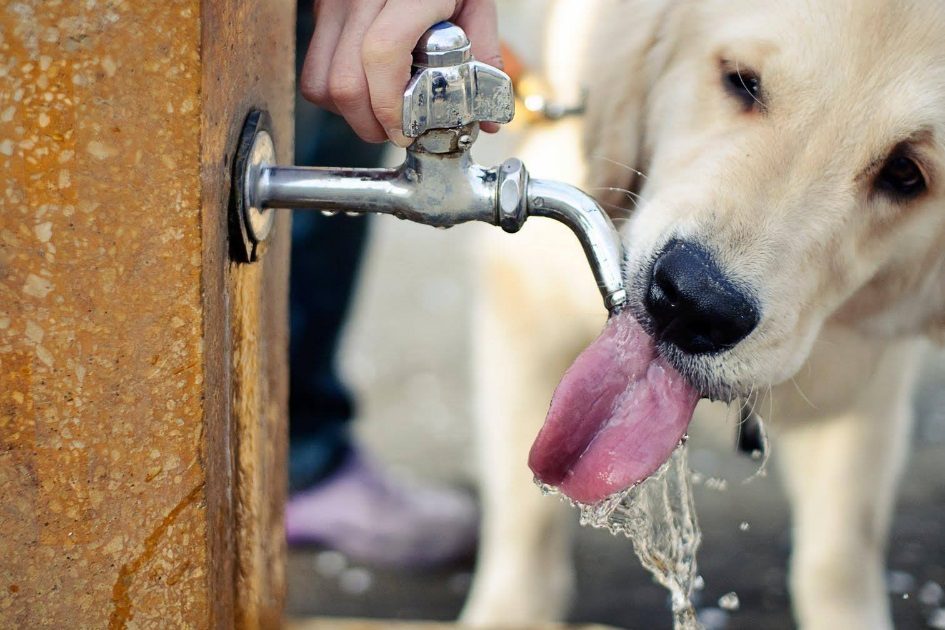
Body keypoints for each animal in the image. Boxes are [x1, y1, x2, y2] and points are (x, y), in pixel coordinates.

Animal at [462, 1, 944, 630]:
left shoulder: (864, 378)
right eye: (742, 81)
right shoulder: (526, 290)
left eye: (907, 173)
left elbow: (839, 552)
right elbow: (527, 516)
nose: (692, 304)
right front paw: (510, 613)